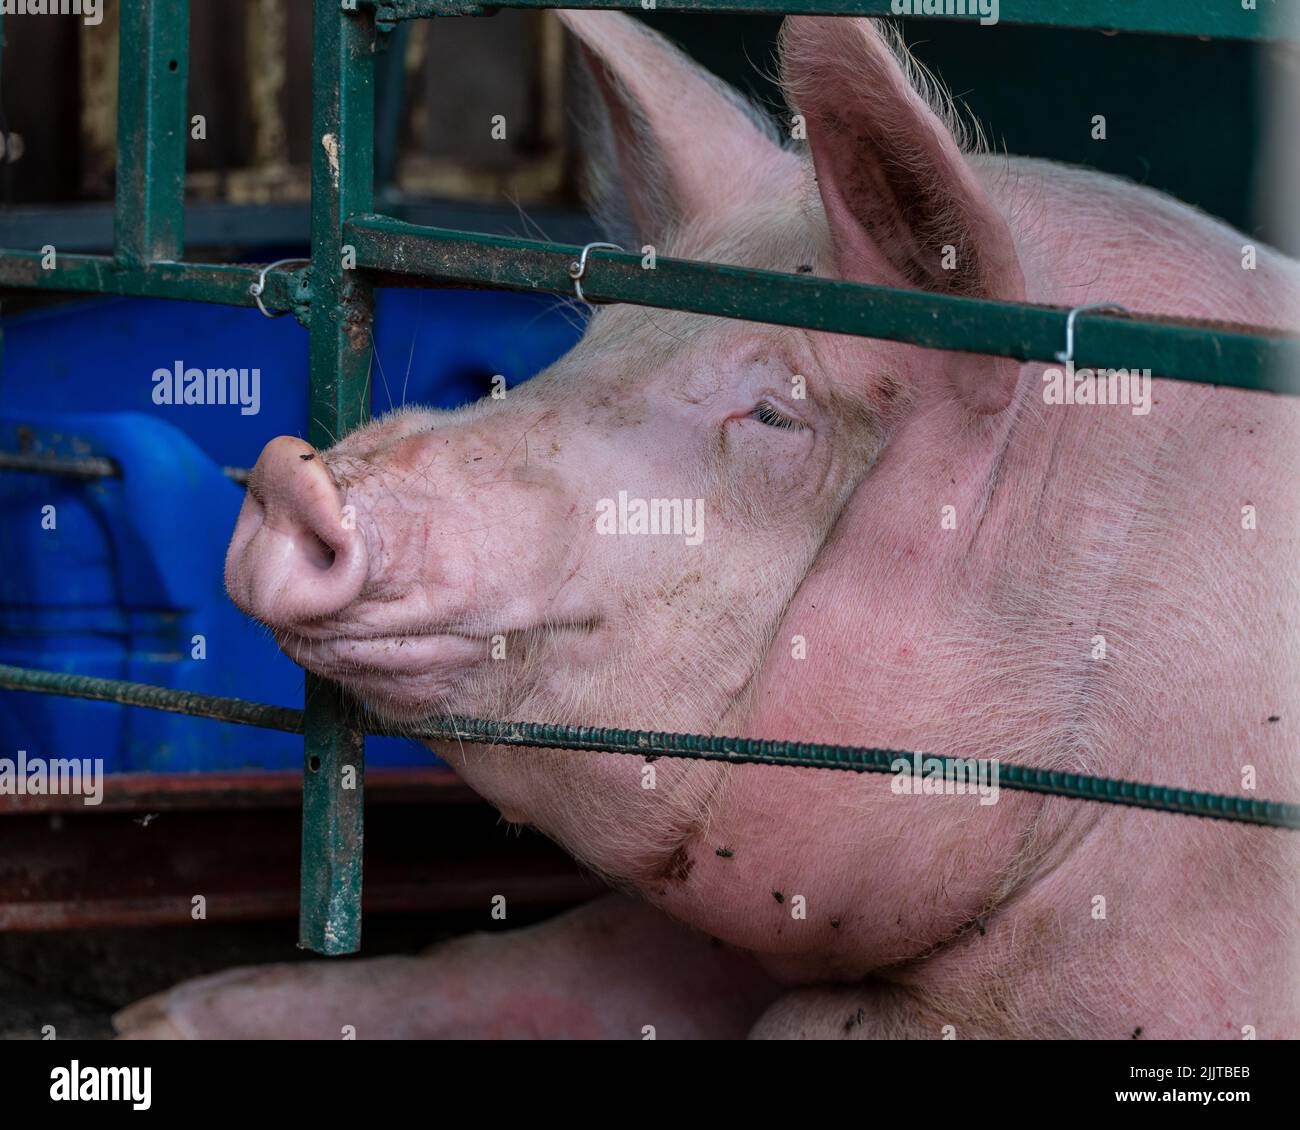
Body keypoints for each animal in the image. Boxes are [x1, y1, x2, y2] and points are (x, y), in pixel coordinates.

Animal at [116, 13, 1294, 1040]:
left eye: (775, 413)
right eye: (595, 334)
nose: (290, 474)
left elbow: (792, 1021)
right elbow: (546, 959)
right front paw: (163, 1016)